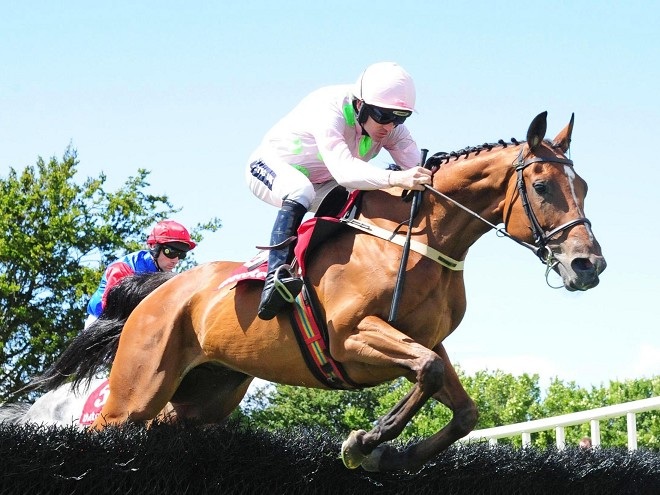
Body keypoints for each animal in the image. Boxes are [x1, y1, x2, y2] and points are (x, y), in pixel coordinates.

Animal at [33, 112, 604, 472]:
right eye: (542, 187)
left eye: (583, 187)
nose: (588, 265)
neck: (417, 240)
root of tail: (162, 292)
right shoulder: (353, 337)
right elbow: (426, 373)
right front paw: (364, 442)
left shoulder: (425, 340)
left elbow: (459, 405)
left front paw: (388, 453)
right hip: (135, 391)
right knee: (102, 427)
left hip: (204, 396)